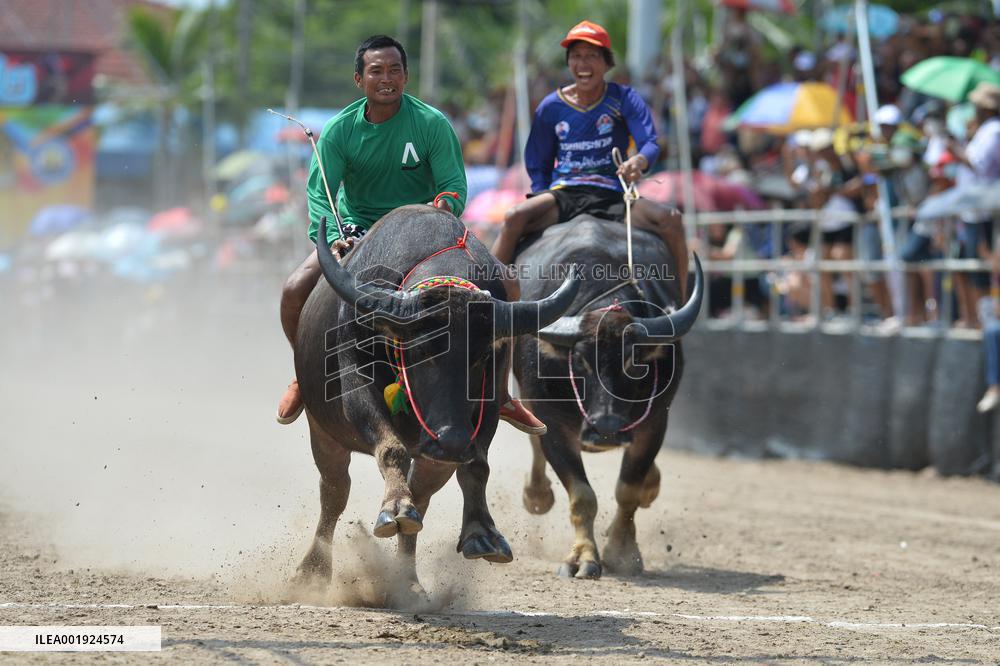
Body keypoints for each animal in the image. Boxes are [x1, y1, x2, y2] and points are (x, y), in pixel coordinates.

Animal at [293, 205, 579, 597]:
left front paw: (482, 533)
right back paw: (313, 571)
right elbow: (390, 449)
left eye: (480, 357)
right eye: (420, 350)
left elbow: (477, 465)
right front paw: (394, 507)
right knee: (335, 494)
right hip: (324, 432)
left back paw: (408, 582)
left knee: (422, 498)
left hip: (431, 456)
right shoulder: (355, 386)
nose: (451, 440)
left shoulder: (488, 399)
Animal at [512, 215, 703, 579]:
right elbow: (582, 496)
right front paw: (583, 558)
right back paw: (536, 494)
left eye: (634, 362)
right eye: (580, 359)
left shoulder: (655, 423)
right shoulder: (553, 422)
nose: (606, 429)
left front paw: (622, 551)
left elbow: (628, 491)